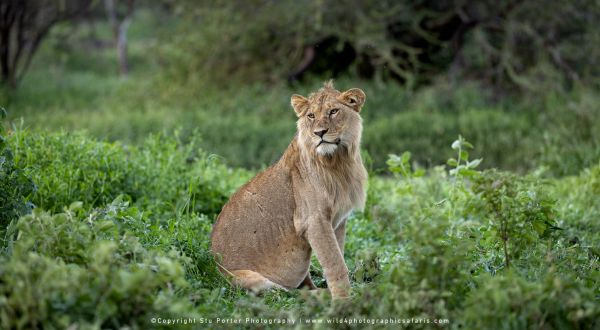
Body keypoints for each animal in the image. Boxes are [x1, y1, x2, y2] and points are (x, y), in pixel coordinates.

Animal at [211, 81, 370, 298]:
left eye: (334, 111)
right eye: (311, 116)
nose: (319, 133)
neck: (338, 162)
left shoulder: (338, 221)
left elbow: (339, 255)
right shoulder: (313, 220)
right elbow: (335, 263)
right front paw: (343, 299)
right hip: (248, 278)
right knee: (287, 293)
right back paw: (321, 296)